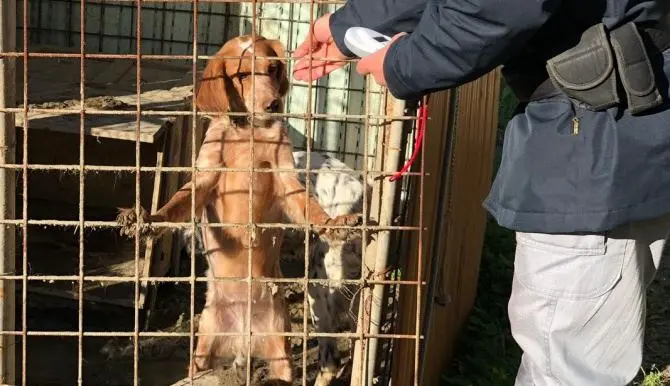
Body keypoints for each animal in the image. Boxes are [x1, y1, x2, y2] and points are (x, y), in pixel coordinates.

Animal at [118, 35, 364, 382]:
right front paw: (146, 219)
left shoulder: (286, 179)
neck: (249, 132)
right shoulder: (205, 177)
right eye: (243, 75)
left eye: (272, 69)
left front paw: (335, 223)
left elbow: (309, 207)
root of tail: (243, 336)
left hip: (291, 334)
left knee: (320, 363)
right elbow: (176, 203)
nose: (273, 105)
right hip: (203, 349)